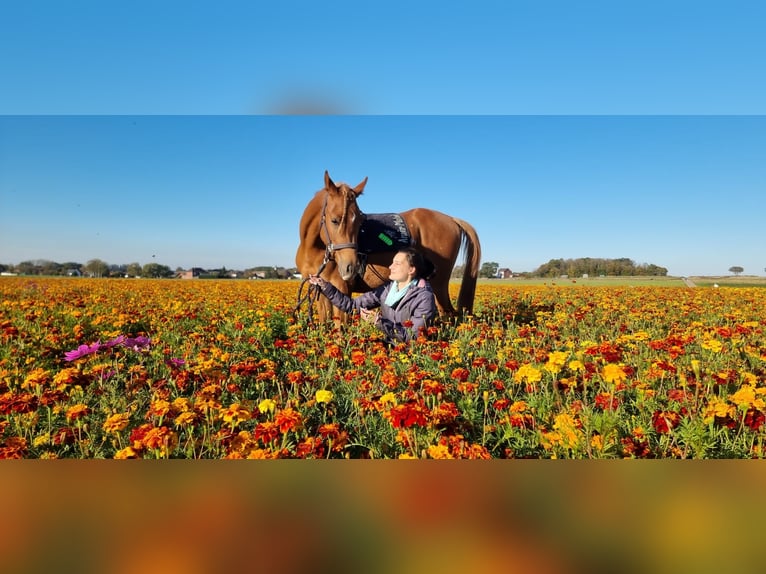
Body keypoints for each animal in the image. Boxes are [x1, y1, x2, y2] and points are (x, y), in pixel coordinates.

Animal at [296, 171, 484, 324]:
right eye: (334, 220)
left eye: (359, 222)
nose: (352, 268)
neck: (314, 250)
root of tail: (451, 219)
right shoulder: (321, 291)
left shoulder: (342, 287)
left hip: (439, 285)